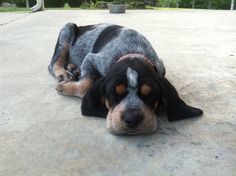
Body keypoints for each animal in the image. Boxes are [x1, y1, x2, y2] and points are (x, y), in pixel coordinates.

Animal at [48, 22, 203, 135]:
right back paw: (63, 72)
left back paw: (73, 68)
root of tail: (83, 26)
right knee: (53, 63)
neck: (133, 52)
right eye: (114, 93)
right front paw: (65, 86)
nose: (132, 119)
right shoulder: (92, 58)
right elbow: (85, 85)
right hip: (68, 28)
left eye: (150, 94)